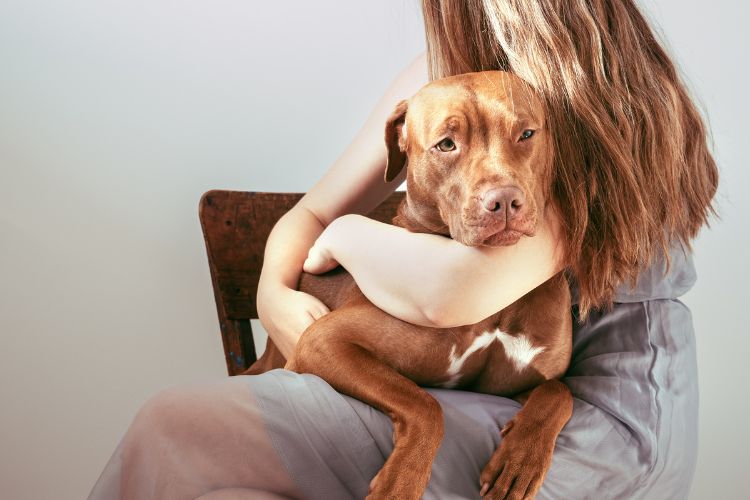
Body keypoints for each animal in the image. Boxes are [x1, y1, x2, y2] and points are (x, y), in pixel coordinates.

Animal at [253, 71, 576, 500]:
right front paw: (401, 481)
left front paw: (520, 460)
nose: (505, 201)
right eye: (446, 144)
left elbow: (559, 393)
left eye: (526, 133)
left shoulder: (511, 388)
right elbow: (424, 404)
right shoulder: (323, 342)